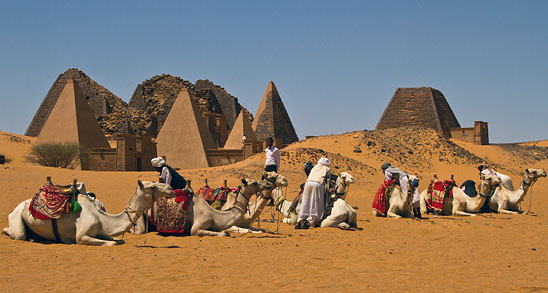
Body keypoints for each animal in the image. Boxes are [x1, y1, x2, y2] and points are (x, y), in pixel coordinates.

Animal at [1, 180, 173, 244]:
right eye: (153, 187)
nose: (170, 188)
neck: (102, 218)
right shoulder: (81, 236)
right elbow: (111, 243)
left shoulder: (103, 231)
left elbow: (118, 240)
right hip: (17, 217)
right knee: (18, 234)